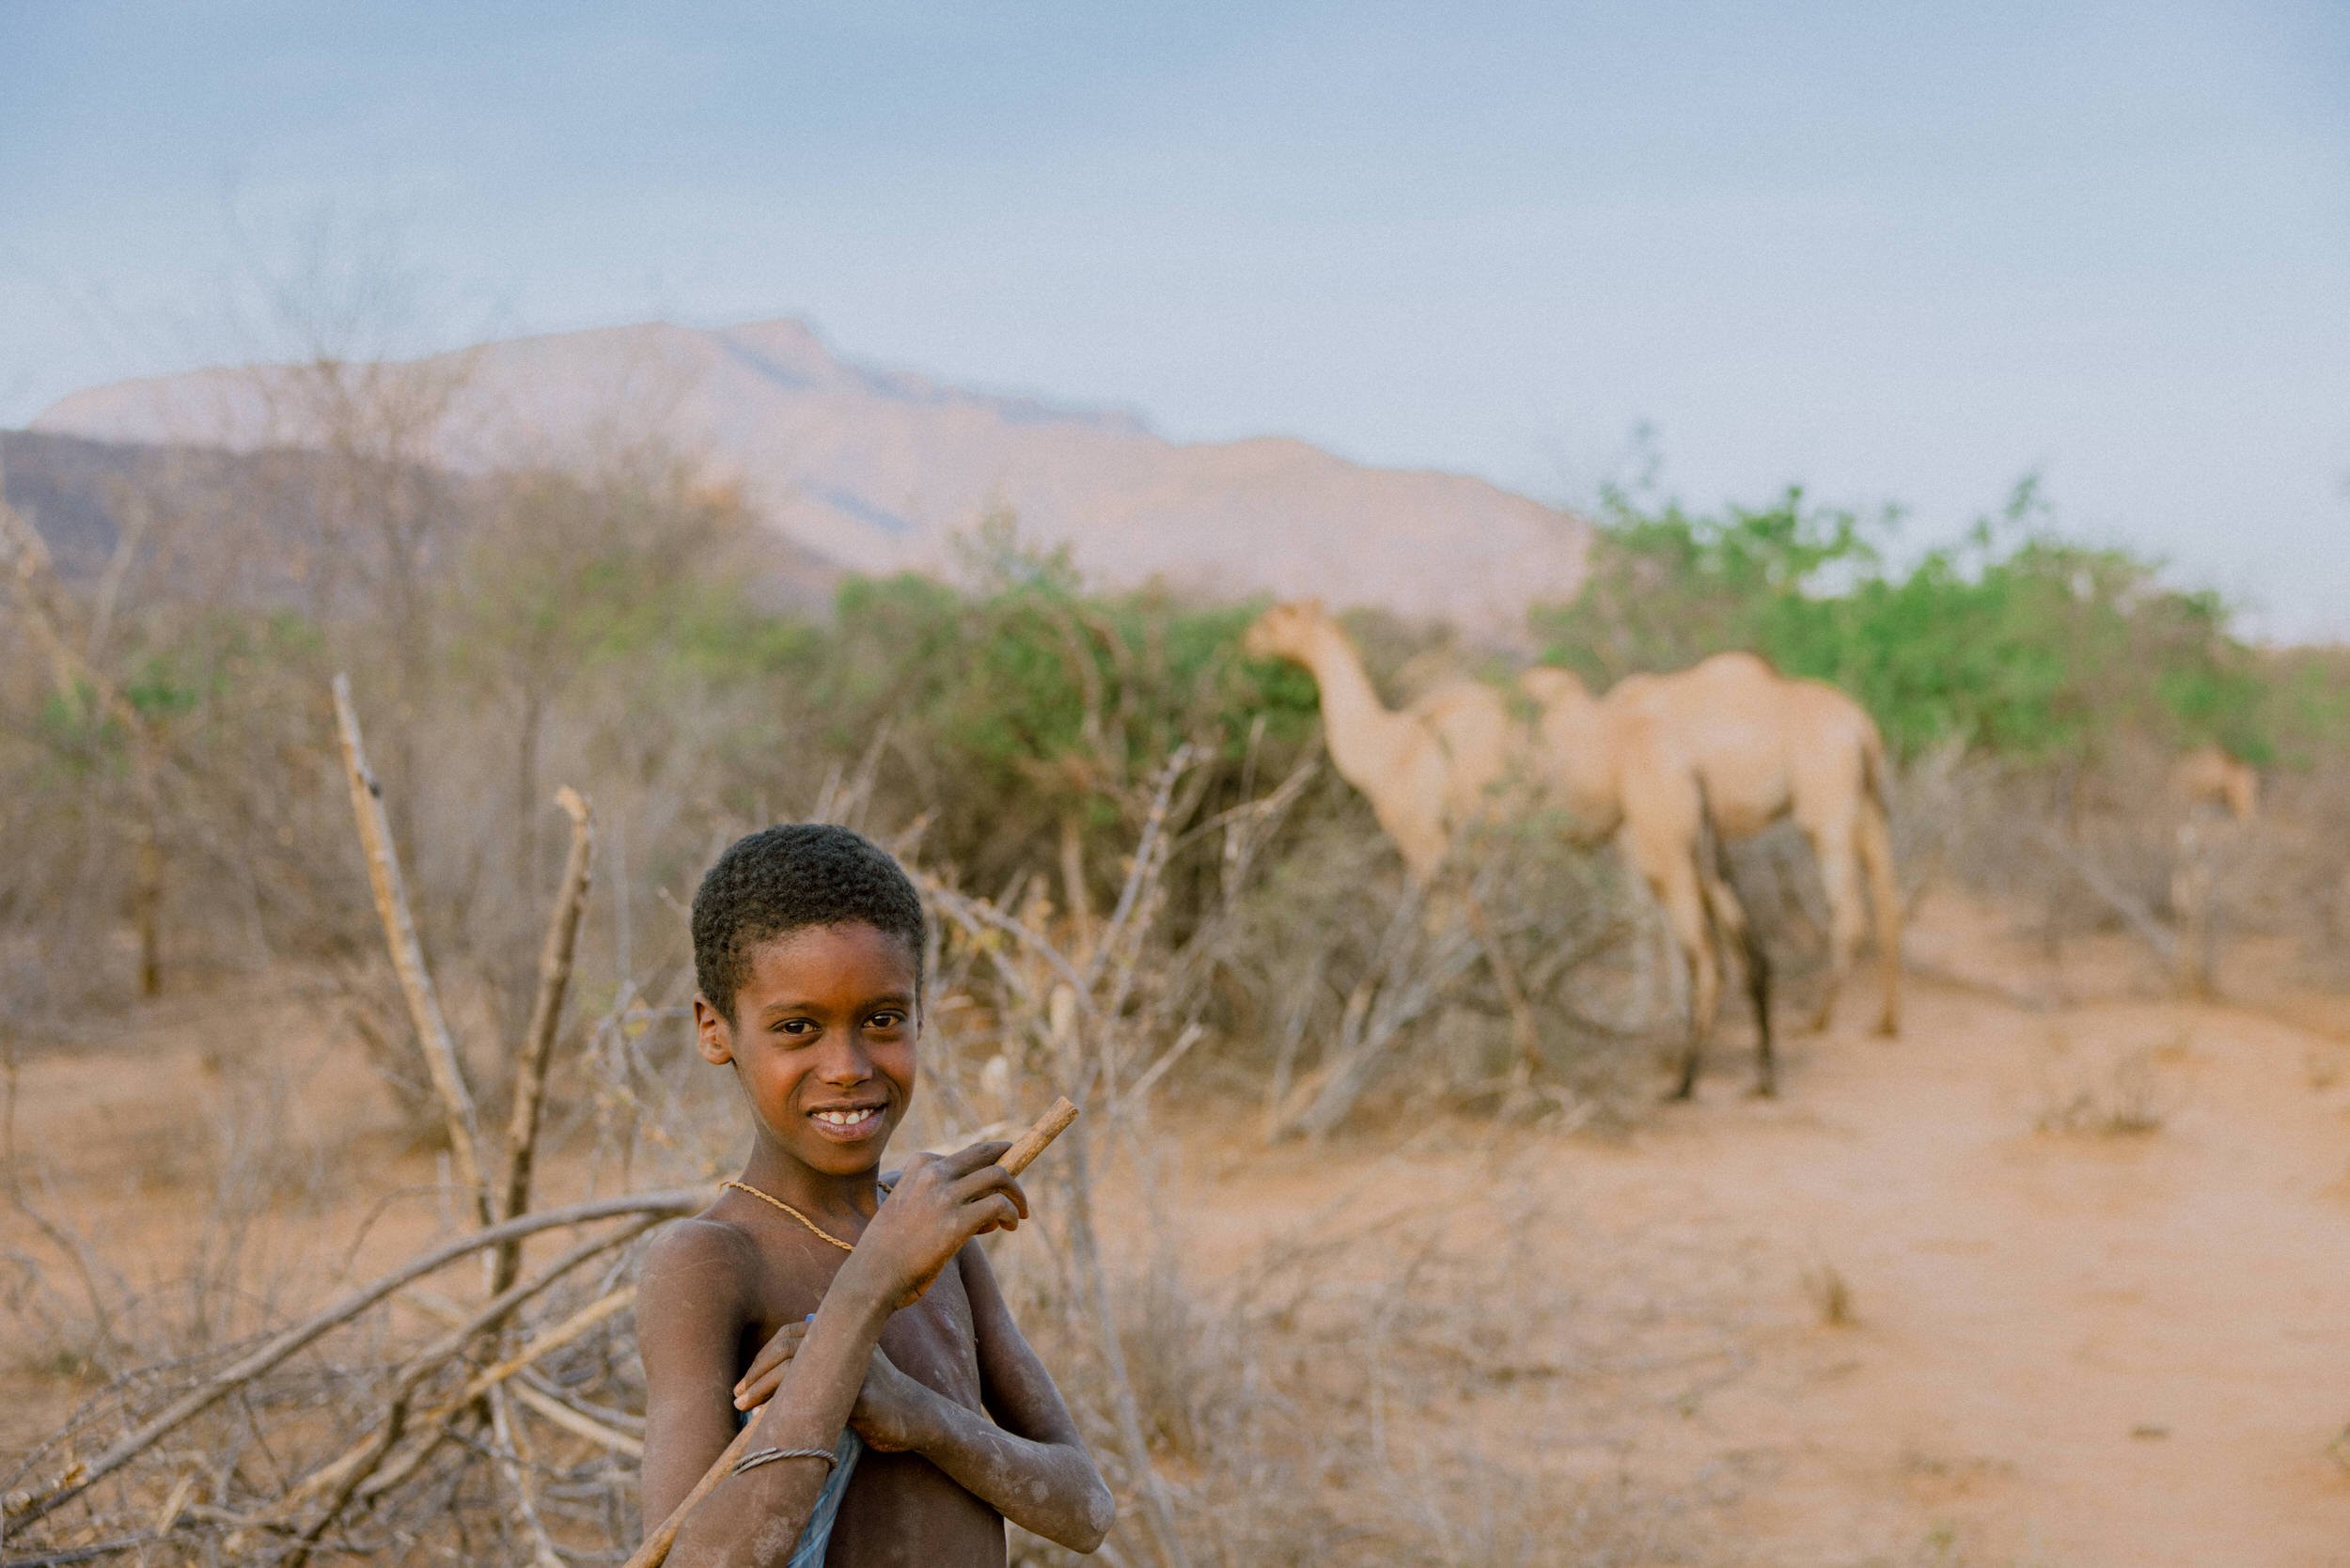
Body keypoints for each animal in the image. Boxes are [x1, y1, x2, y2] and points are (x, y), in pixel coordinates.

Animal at [1513, 658, 1899, 1100]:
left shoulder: (1638, 838)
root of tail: (1861, 725)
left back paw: (1814, 1021)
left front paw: (1642, 1013)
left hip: (1824, 809)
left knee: (1848, 912)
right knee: (1887, 896)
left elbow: (1648, 919)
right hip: (1865, 804)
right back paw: (1885, 1022)